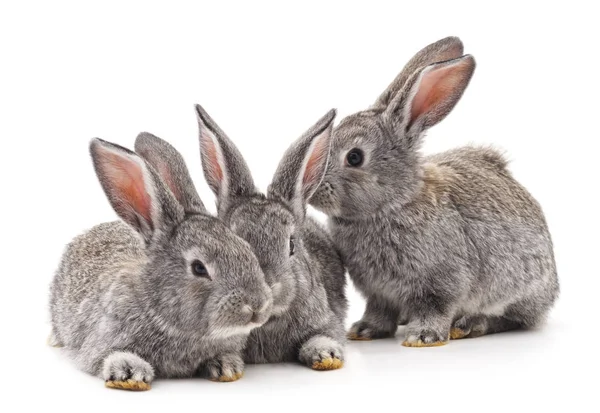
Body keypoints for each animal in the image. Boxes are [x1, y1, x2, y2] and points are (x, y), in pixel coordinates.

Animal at [49, 135, 272, 390]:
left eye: (247, 249)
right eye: (199, 267)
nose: (257, 305)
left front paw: (226, 366)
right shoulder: (100, 342)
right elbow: (106, 357)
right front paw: (130, 373)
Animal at [308, 35, 560, 346]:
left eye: (354, 157)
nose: (313, 189)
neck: (395, 203)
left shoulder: (441, 283)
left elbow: (435, 307)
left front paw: (423, 337)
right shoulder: (378, 293)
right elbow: (379, 311)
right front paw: (364, 331)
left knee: (514, 318)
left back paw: (470, 325)